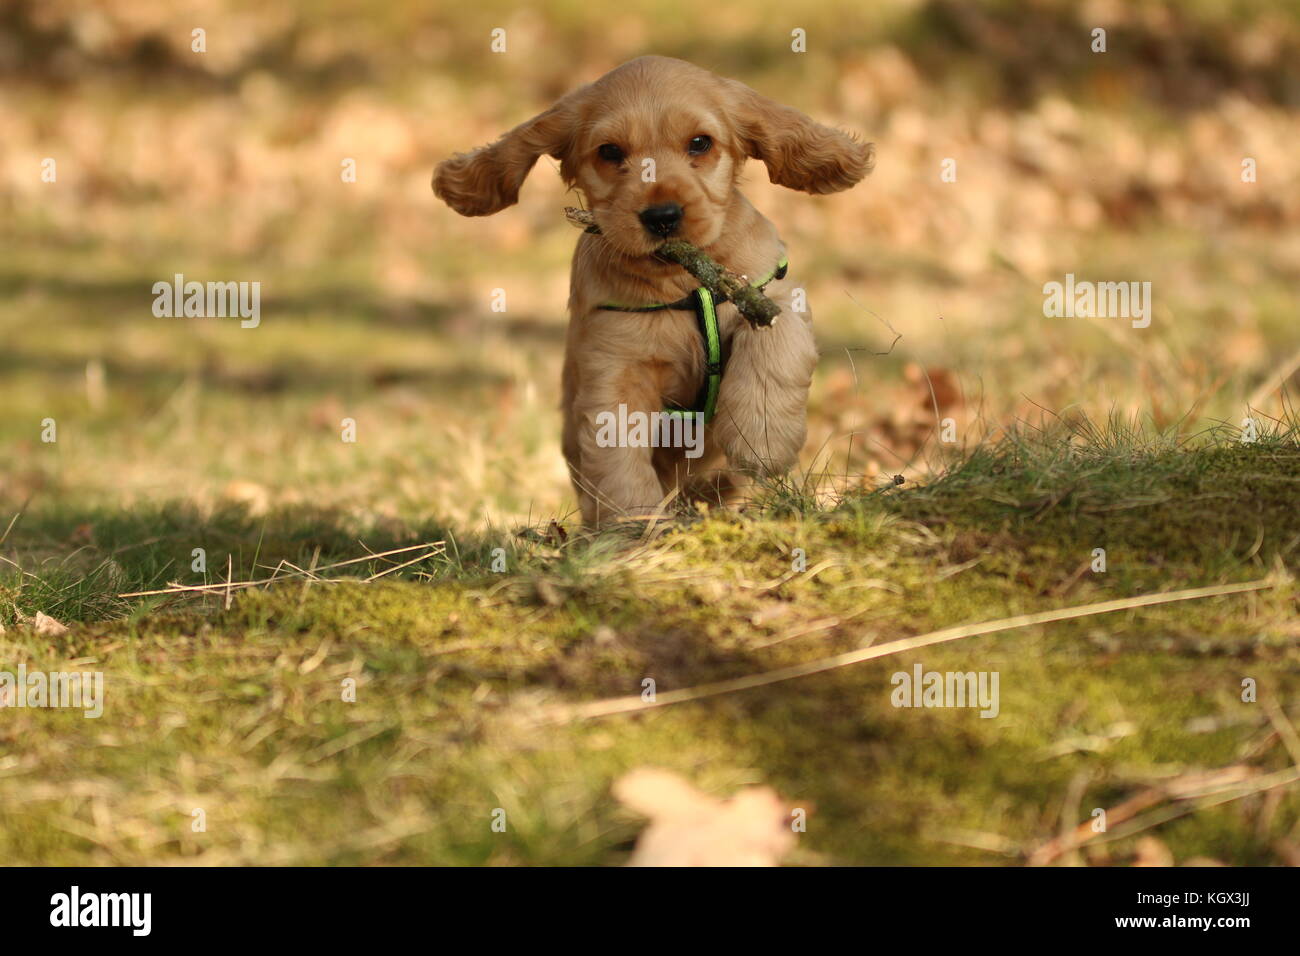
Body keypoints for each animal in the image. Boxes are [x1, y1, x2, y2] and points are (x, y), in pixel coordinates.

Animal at [436, 55, 873, 528]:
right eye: (610, 152)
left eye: (700, 143)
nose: (662, 216)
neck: (681, 283)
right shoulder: (614, 364)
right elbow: (617, 454)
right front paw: (634, 526)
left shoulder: (770, 292)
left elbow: (775, 343)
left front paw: (763, 437)